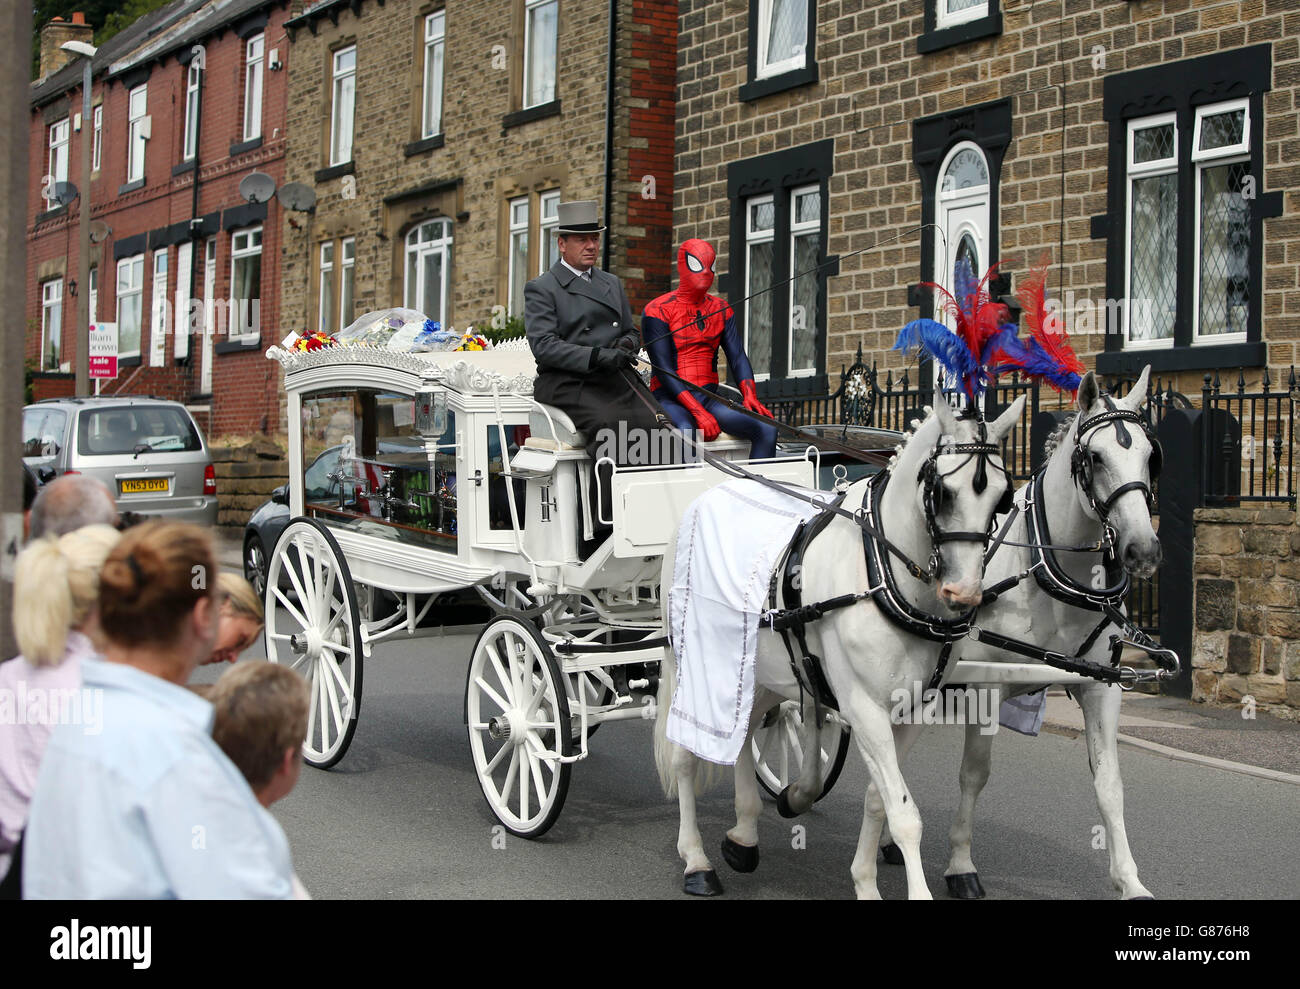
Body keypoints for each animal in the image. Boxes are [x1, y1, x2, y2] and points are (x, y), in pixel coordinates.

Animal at [650, 392, 1024, 894]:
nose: (963, 594)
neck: (884, 570)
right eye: (943, 492)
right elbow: (905, 817)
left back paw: (746, 831)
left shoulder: (912, 709)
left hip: (757, 670)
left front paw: (863, 879)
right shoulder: (864, 706)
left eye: (1002, 497)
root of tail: (702, 500)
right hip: (688, 663)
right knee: (683, 756)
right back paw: (696, 859)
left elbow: (880, 797)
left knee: (745, 729)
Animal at [873, 366, 1170, 899]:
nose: (1142, 550)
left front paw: (1130, 880)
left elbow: (1110, 785)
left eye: (1150, 455)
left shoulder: (1101, 686)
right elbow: (974, 775)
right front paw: (961, 865)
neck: (1043, 569)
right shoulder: (986, 686)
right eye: (1095, 457)